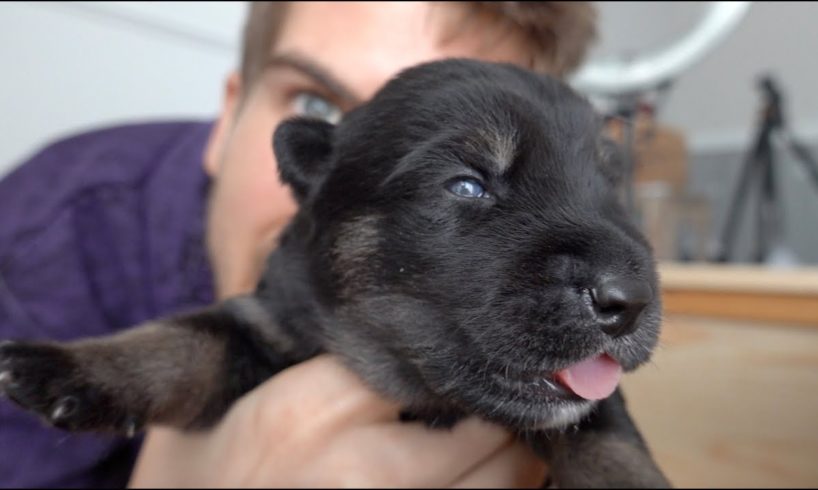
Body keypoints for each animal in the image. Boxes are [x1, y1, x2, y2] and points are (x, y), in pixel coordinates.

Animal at [1, 59, 668, 488]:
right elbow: (181, 342)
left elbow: (610, 441)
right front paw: (70, 365)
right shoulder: (266, 323)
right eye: (467, 186)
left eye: (612, 187)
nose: (631, 300)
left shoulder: (593, 406)